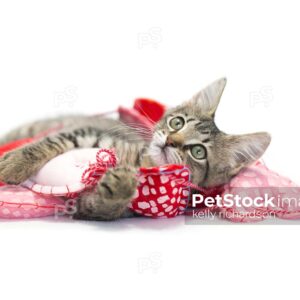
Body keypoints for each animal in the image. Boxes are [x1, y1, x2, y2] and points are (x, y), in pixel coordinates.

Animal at [0, 78, 270, 221]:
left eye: (198, 152)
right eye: (177, 123)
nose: (170, 140)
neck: (141, 161)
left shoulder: (86, 205)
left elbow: (103, 206)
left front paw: (120, 185)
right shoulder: (89, 132)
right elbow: (51, 143)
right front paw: (13, 165)